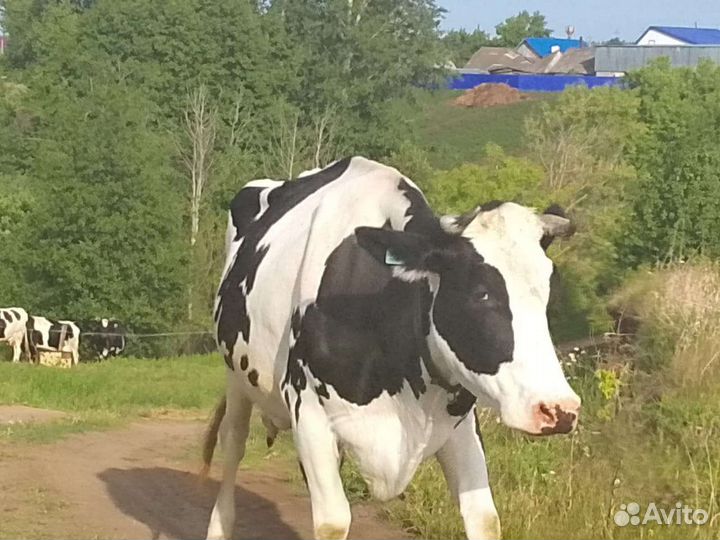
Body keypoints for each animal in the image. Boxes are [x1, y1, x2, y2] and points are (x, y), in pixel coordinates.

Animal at [203, 157, 581, 540]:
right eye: (480, 293)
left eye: (550, 290)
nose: (558, 409)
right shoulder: (308, 411)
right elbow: (332, 522)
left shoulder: (461, 421)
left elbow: (485, 518)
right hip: (236, 378)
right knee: (233, 442)